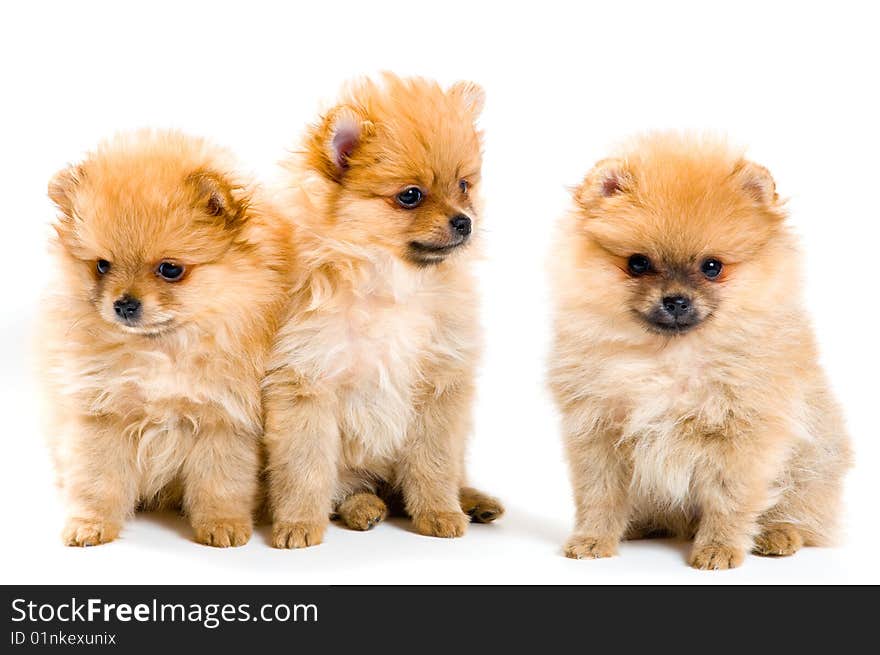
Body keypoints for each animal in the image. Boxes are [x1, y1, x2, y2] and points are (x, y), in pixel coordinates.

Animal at [42, 129, 292, 548]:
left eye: (170, 269)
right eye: (102, 265)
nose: (124, 304)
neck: (162, 350)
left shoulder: (225, 419)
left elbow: (221, 482)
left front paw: (223, 525)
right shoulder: (101, 415)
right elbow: (97, 481)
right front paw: (89, 524)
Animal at [262, 73, 502, 548]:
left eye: (464, 185)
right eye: (410, 196)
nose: (464, 221)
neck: (389, 284)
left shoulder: (439, 385)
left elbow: (434, 463)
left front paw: (440, 512)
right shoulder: (306, 383)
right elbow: (305, 468)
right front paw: (298, 524)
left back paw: (473, 501)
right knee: (349, 488)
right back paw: (364, 507)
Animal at [552, 132, 852, 568]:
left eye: (712, 267)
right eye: (638, 264)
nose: (676, 300)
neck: (668, 356)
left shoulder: (744, 433)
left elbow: (730, 498)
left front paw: (719, 549)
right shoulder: (597, 427)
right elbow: (599, 493)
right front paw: (593, 540)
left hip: (811, 461)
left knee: (800, 510)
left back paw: (777, 535)